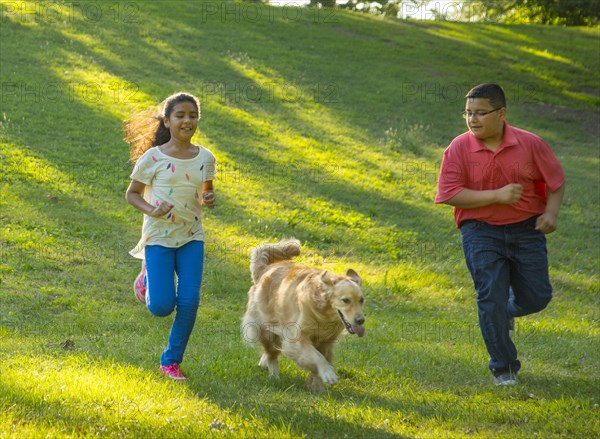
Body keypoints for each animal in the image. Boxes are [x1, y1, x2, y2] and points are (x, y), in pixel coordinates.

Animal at [240, 239, 364, 394]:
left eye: (362, 300)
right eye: (346, 300)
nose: (361, 320)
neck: (323, 315)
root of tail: (265, 269)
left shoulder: (326, 342)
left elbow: (322, 358)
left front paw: (317, 386)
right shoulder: (297, 338)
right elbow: (317, 357)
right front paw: (328, 374)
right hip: (264, 326)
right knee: (272, 354)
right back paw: (274, 376)